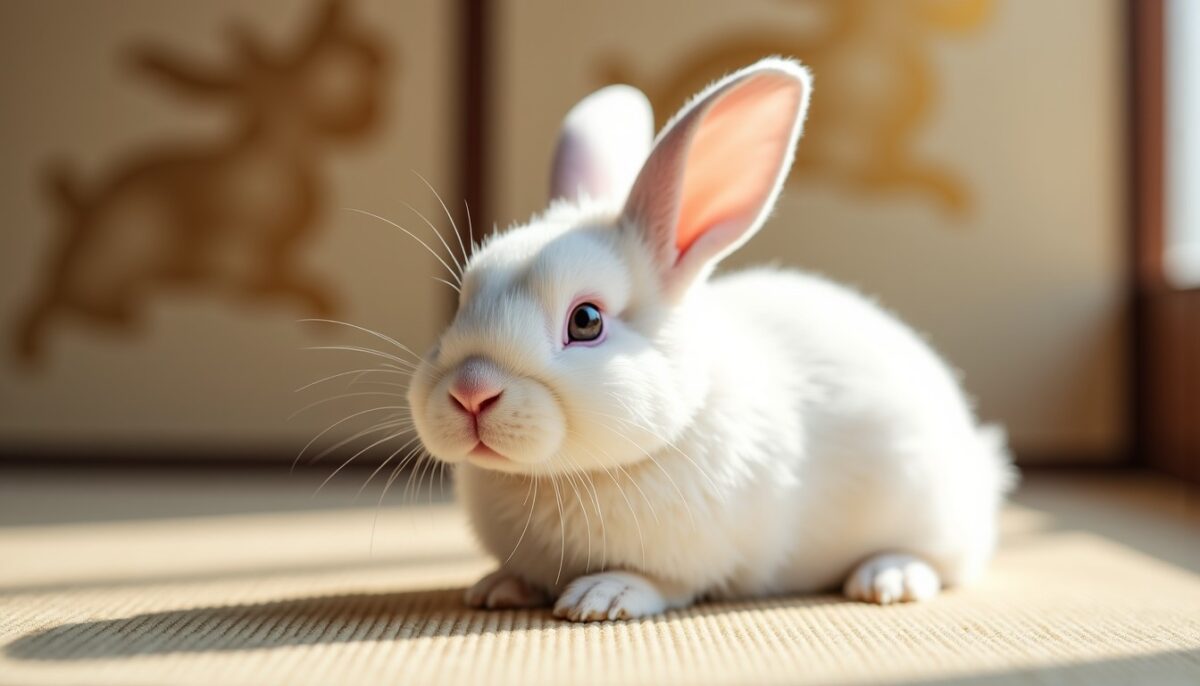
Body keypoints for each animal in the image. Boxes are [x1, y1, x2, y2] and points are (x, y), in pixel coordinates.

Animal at [406, 57, 1014, 622]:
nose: (470, 392)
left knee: (946, 560)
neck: (560, 477)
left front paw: (602, 597)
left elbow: (659, 581)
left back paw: (888, 577)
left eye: (586, 321)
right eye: (462, 301)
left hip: (930, 504)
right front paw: (499, 588)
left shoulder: (695, 560)